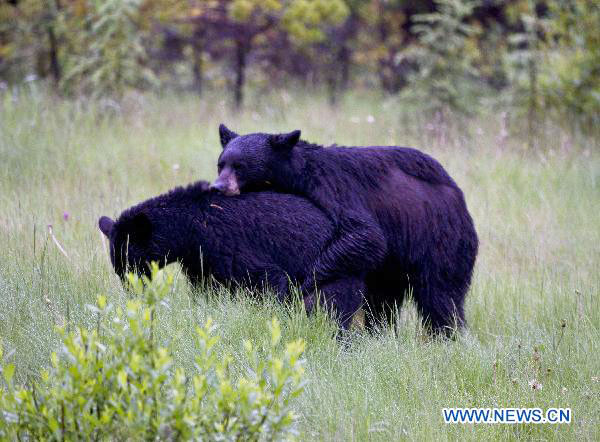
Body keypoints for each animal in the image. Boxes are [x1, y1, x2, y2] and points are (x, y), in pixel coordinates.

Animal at [97, 180, 366, 328]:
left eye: (132, 265)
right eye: (118, 270)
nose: (133, 294)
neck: (190, 229)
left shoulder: (226, 243)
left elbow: (268, 279)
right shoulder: (199, 261)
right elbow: (206, 291)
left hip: (335, 274)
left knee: (329, 306)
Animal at [211, 126, 478, 334]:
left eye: (240, 166)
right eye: (221, 164)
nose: (217, 187)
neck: (292, 176)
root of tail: (459, 196)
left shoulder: (334, 187)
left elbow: (366, 234)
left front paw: (304, 286)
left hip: (440, 237)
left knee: (441, 294)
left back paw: (446, 335)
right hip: (392, 265)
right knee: (383, 299)